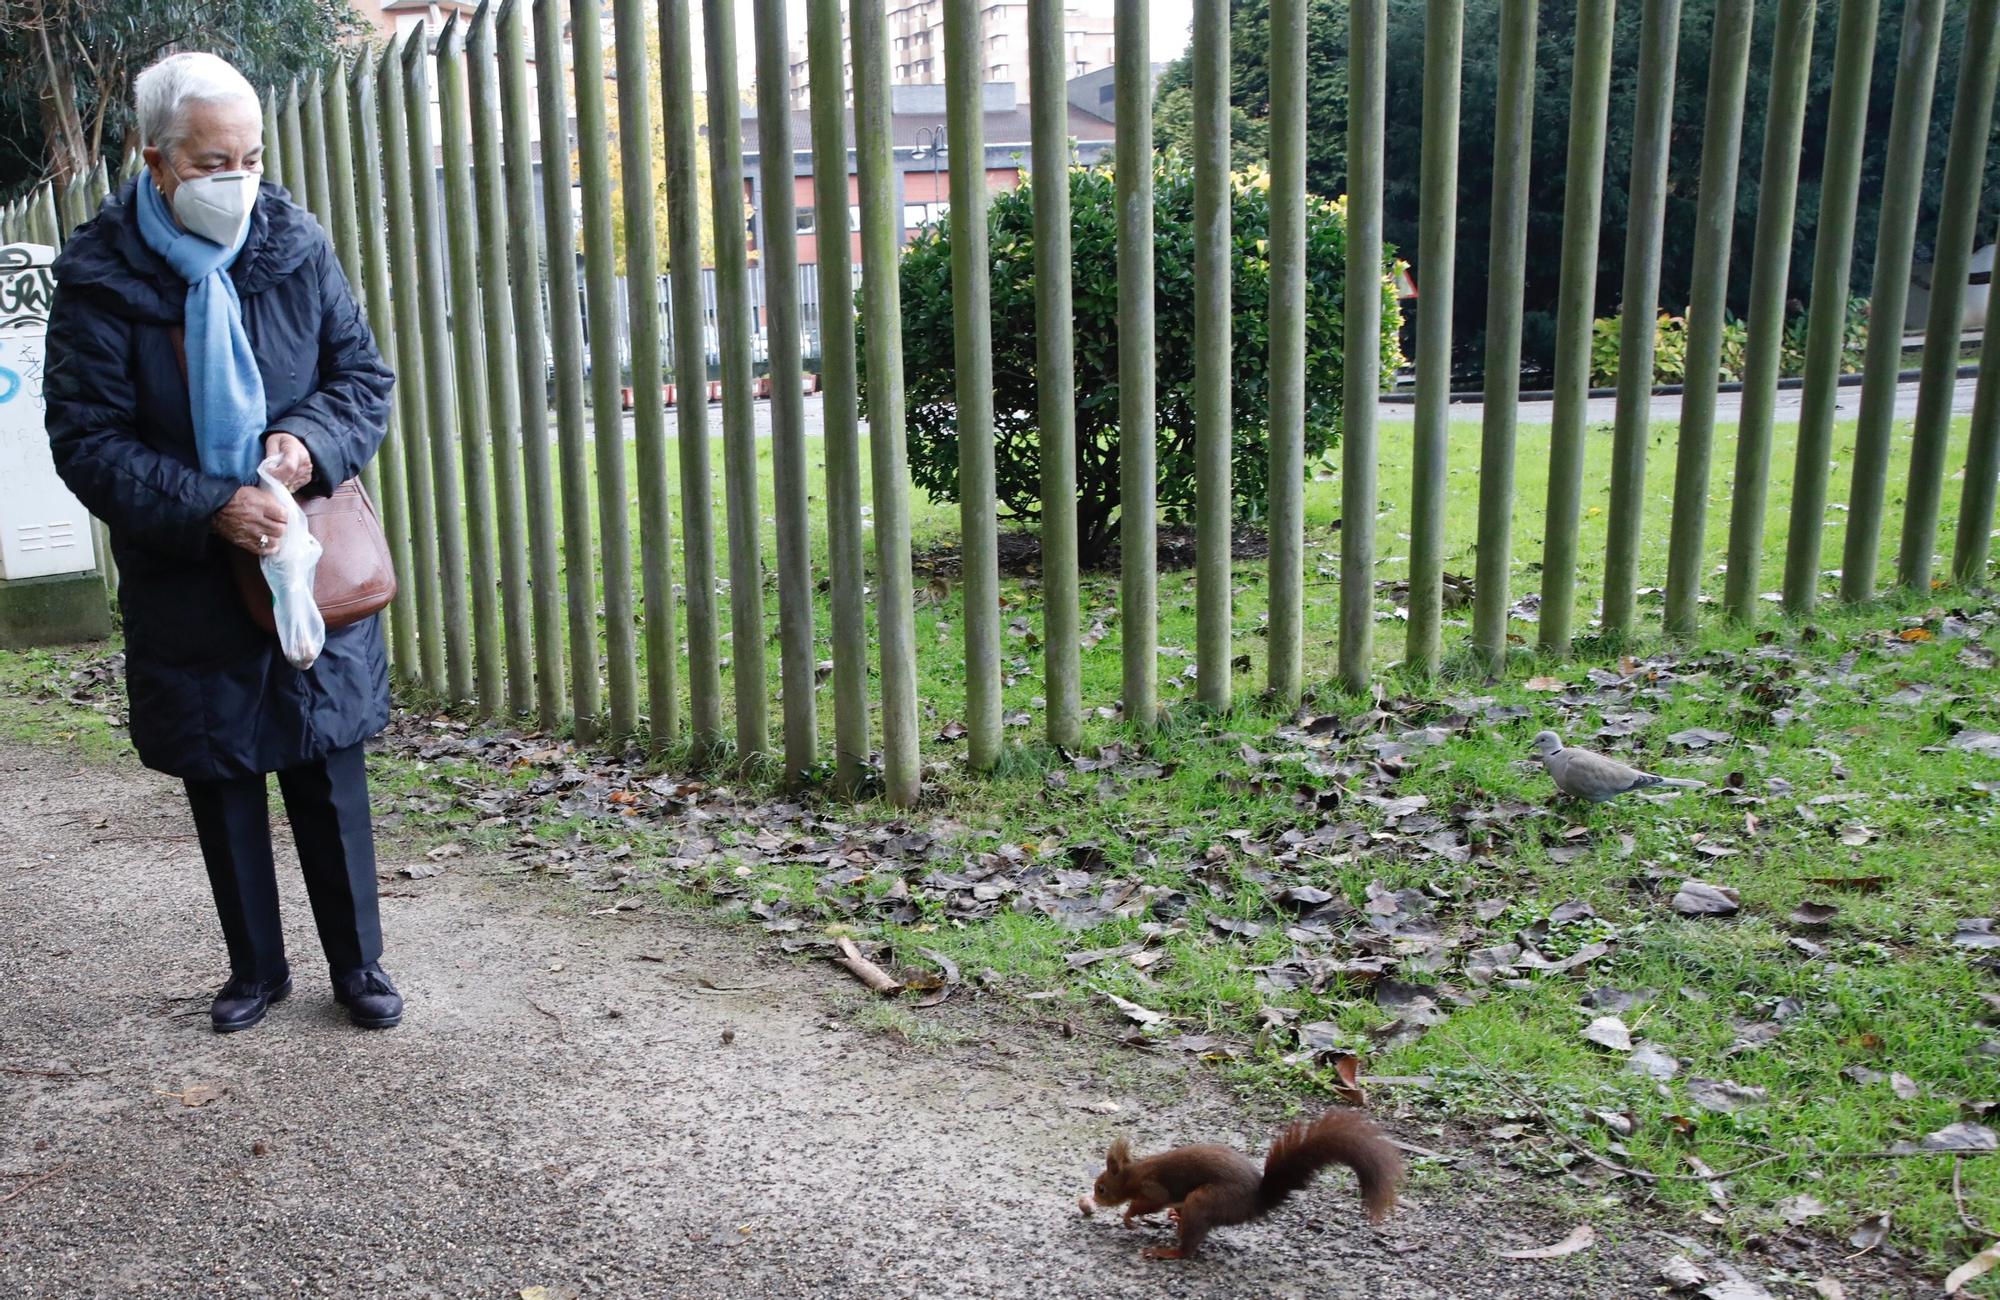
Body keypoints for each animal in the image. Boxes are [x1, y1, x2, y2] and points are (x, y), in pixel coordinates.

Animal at [1080, 1104, 1408, 1256]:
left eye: (1101, 1188)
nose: (1094, 1198)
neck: (1133, 1173)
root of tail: (1255, 1202)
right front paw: (1165, 1213)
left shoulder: (1151, 1186)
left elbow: (1150, 1201)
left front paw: (1128, 1216)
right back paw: (1177, 1220)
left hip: (1207, 1199)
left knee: (1188, 1248)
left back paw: (1168, 1252)